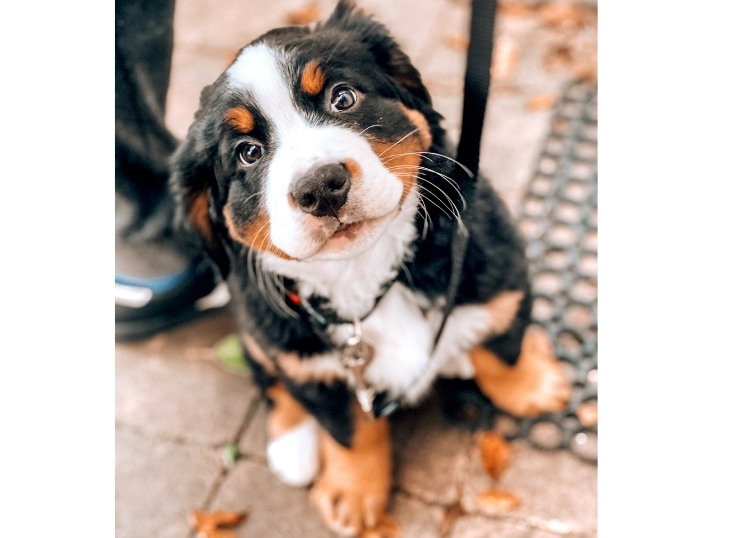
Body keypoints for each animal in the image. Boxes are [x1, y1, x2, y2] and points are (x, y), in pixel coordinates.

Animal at [171, 2, 568, 532]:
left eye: (343, 98)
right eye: (248, 153)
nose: (321, 186)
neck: (363, 272)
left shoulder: (493, 265)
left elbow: (501, 342)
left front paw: (532, 385)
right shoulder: (306, 359)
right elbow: (347, 428)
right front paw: (353, 495)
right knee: (273, 379)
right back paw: (292, 444)